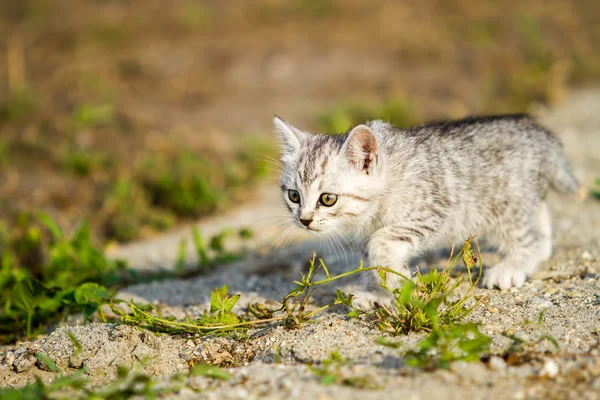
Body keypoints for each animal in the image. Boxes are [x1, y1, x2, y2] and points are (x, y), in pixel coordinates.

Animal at [276, 114, 576, 308]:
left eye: (327, 199)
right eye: (294, 196)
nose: (304, 220)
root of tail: (542, 136)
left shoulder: (431, 211)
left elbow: (381, 243)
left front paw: (396, 286)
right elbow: (373, 258)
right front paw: (379, 293)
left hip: (505, 206)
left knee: (528, 237)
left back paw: (513, 266)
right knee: (540, 221)